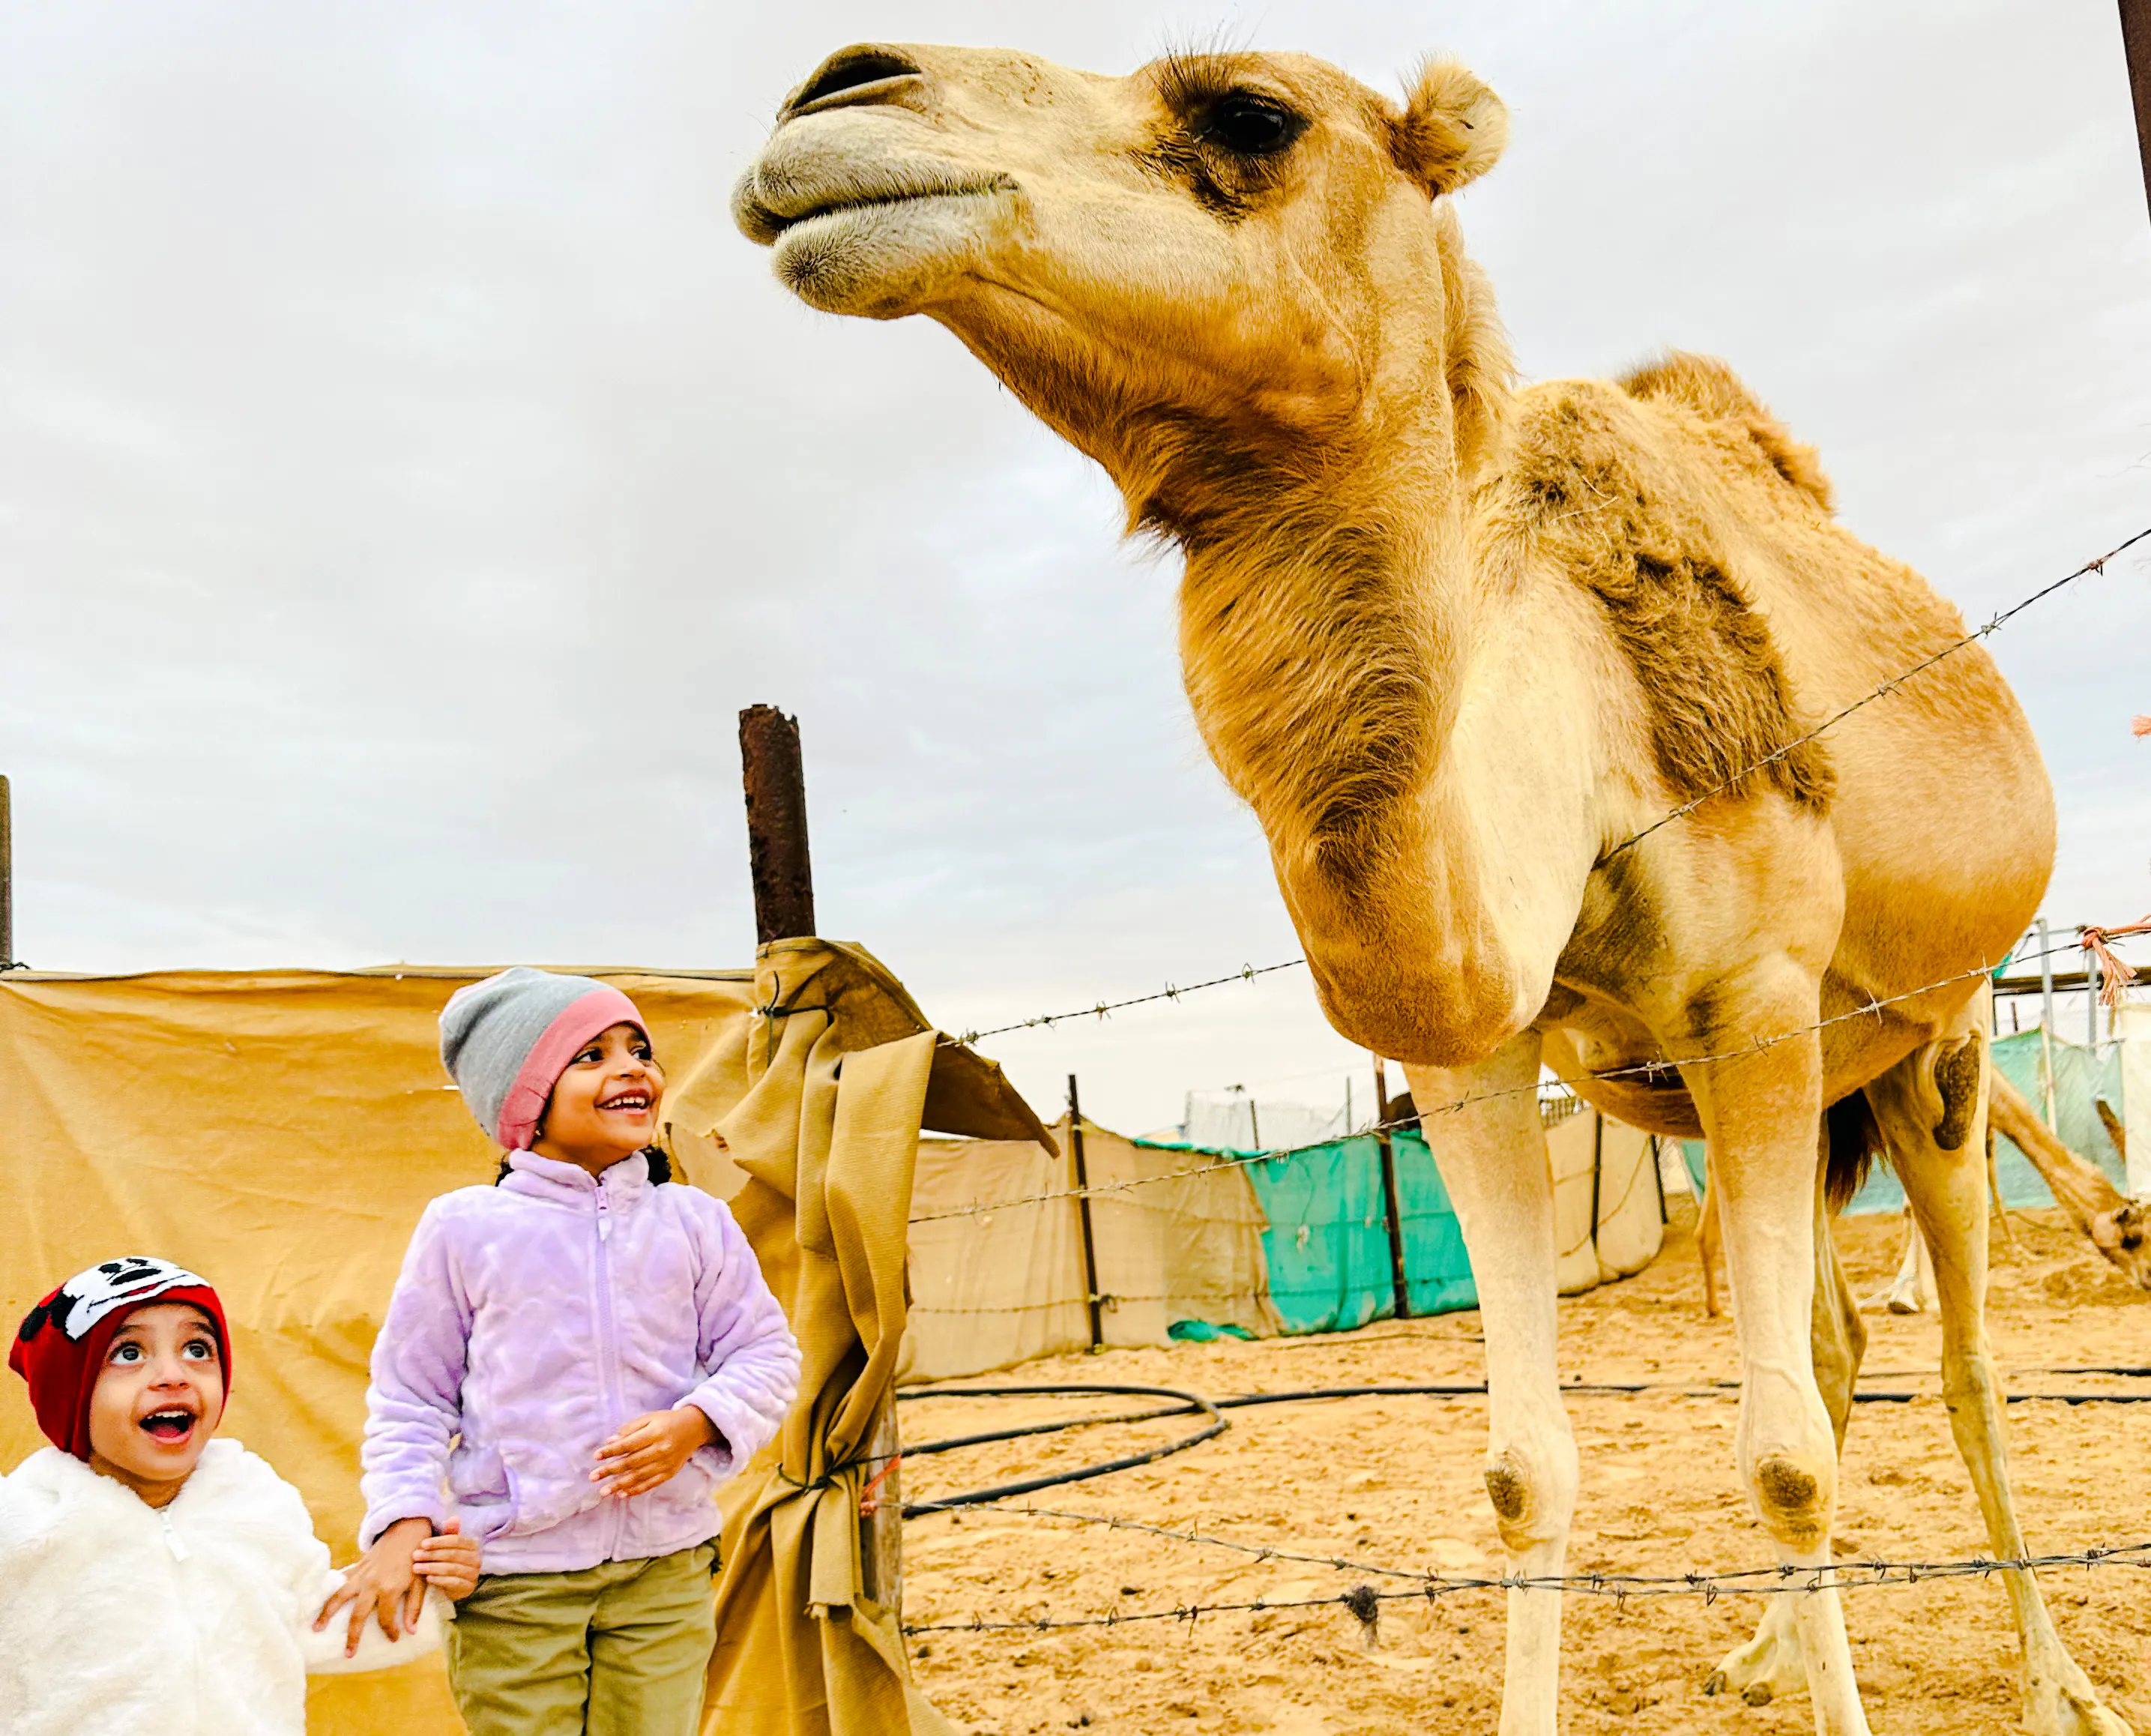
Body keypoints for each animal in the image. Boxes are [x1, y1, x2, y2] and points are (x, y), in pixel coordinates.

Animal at [733, 44, 2131, 1735]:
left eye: (1249, 115)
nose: (833, 95)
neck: (1582, 744)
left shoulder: (1754, 1004)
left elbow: (1787, 1461)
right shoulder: (1479, 1053)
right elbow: (1527, 1469)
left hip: (1937, 1038)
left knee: (1967, 1362)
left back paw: (2055, 1678)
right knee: (1839, 1334)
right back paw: (1756, 1651)